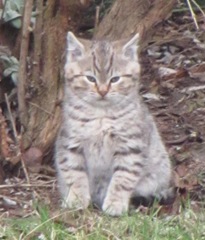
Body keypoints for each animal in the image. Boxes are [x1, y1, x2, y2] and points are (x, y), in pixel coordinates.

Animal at [54, 31, 173, 217]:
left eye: (115, 79)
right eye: (90, 78)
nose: (103, 91)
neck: (101, 116)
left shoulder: (130, 146)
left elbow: (123, 178)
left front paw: (115, 204)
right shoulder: (70, 143)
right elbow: (74, 173)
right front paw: (76, 199)